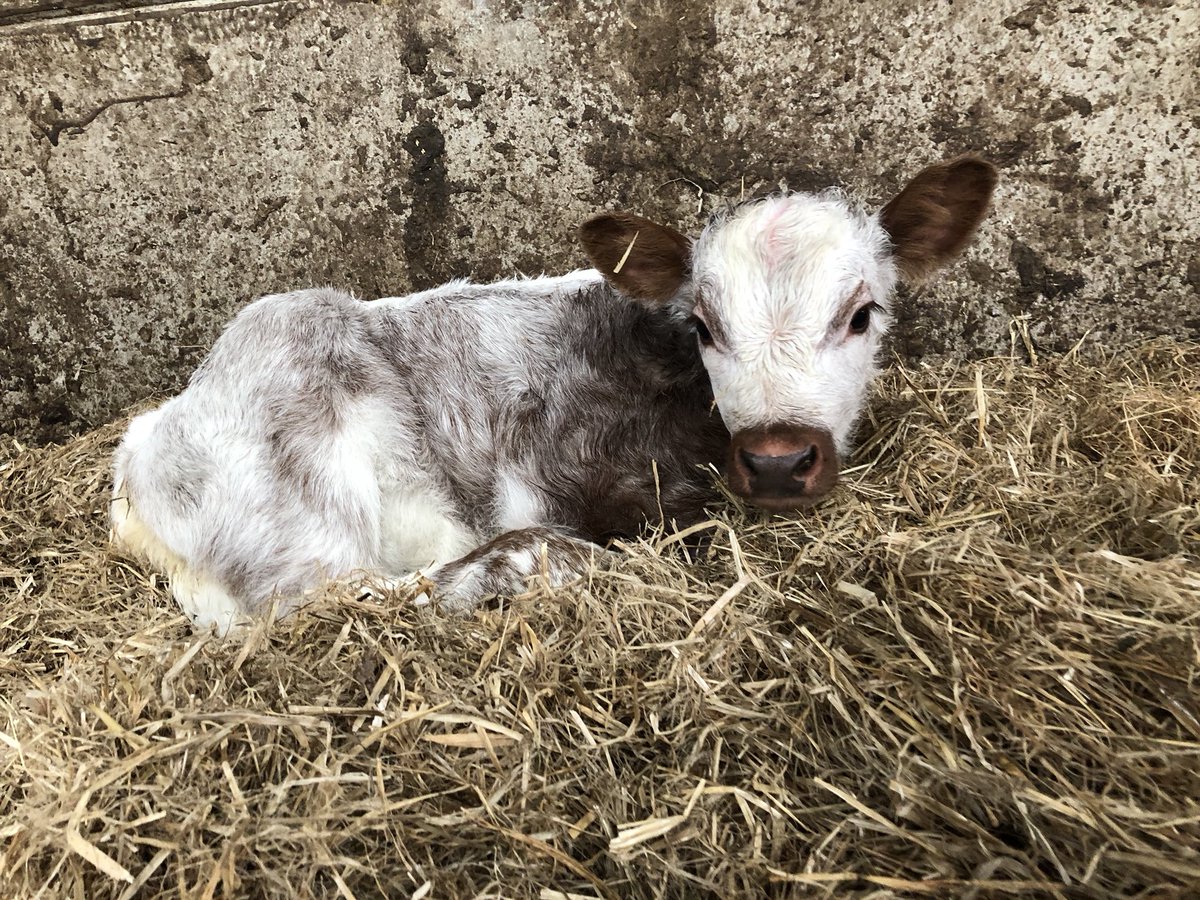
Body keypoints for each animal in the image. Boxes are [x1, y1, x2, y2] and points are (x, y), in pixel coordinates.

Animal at [111, 156, 997, 634]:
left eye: (861, 314)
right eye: (704, 325)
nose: (778, 461)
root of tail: (143, 448)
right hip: (300, 499)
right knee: (344, 600)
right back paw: (528, 564)